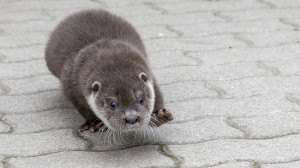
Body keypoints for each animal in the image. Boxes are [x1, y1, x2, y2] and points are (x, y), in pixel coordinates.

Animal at [44, 9, 173, 133]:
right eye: (113, 104)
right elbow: (83, 107)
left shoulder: (148, 71)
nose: (132, 118)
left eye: (141, 99)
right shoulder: (70, 85)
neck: (111, 55)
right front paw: (94, 122)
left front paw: (160, 115)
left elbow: (157, 93)